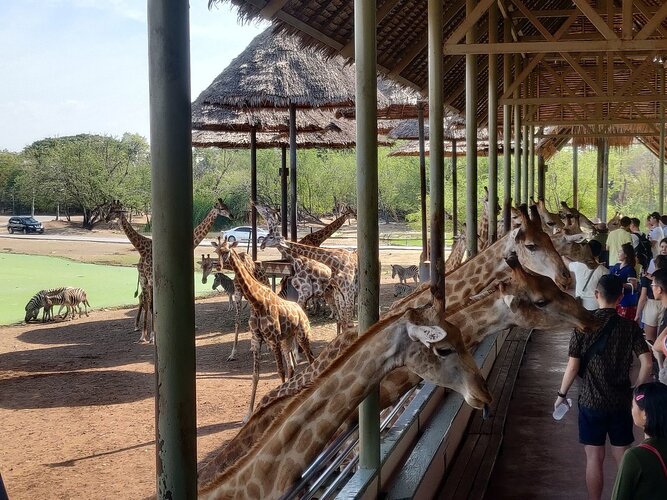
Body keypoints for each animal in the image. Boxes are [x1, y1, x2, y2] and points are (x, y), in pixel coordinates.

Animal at [214, 236, 318, 420]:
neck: (257, 303)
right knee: (292, 366)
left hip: (302, 335)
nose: (218, 266)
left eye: (226, 251)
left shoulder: (272, 339)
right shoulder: (257, 340)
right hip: (287, 339)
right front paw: (248, 414)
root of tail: (301, 310)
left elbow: (280, 371)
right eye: (217, 251)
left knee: (310, 360)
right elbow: (255, 375)